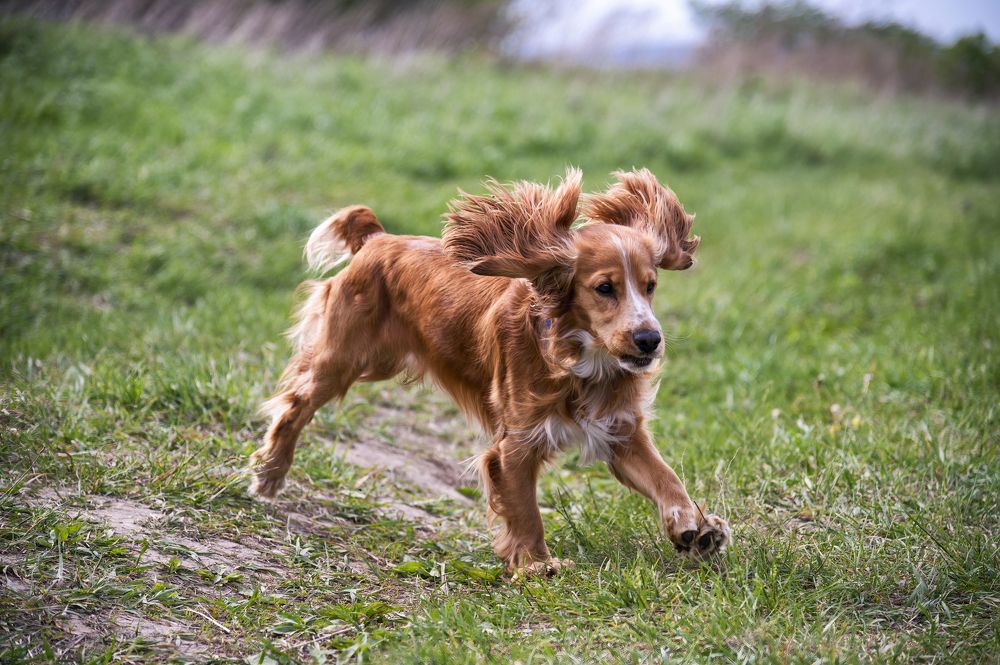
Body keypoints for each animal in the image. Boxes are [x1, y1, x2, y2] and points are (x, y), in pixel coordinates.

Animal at [249, 168, 730, 574]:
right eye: (605, 288)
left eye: (650, 286)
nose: (649, 339)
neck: (578, 361)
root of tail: (378, 239)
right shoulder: (515, 445)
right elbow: (526, 511)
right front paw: (537, 565)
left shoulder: (620, 432)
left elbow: (665, 477)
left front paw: (696, 528)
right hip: (343, 358)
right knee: (296, 405)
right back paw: (270, 472)